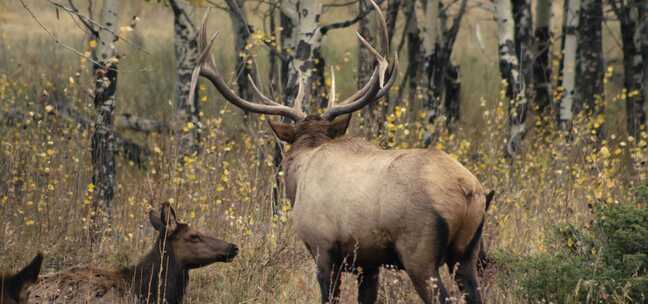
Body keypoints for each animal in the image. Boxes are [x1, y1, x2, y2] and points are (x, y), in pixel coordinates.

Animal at [192, 2, 492, 304]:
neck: (299, 177)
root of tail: (468, 190)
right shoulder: (368, 261)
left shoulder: (322, 247)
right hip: (468, 253)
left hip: (419, 251)